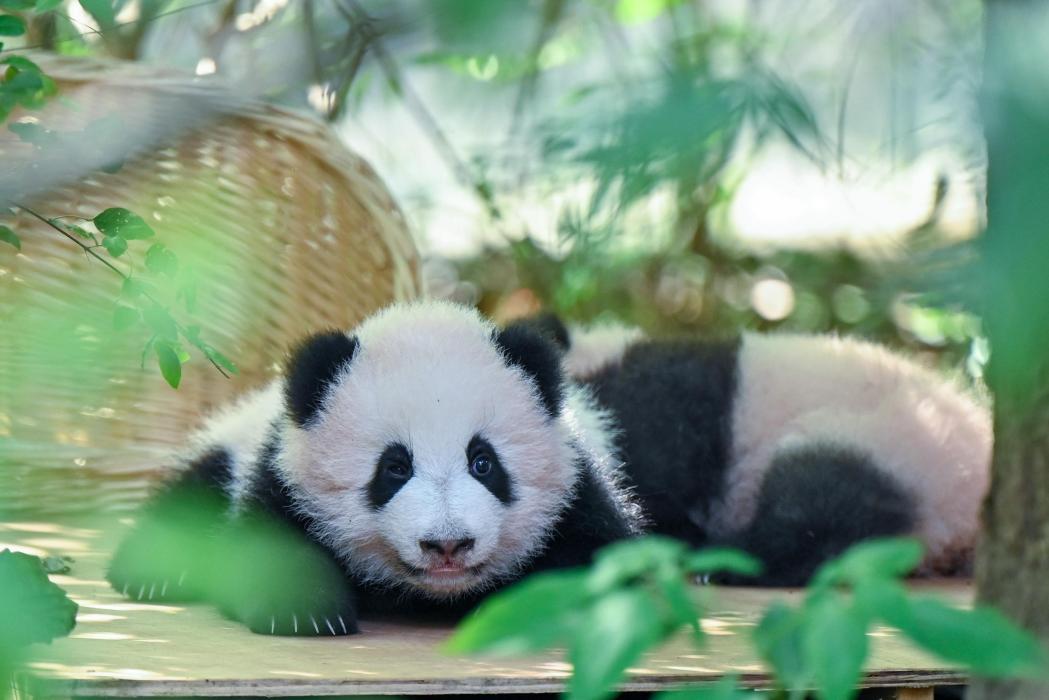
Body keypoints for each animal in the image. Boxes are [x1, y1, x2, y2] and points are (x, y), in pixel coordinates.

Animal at [107, 302, 643, 636]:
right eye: (395, 468)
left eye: (483, 463)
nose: (447, 545)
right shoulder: (282, 471)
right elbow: (263, 545)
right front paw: (304, 610)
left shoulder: (577, 487)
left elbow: (604, 560)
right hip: (233, 445)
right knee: (196, 489)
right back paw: (153, 570)